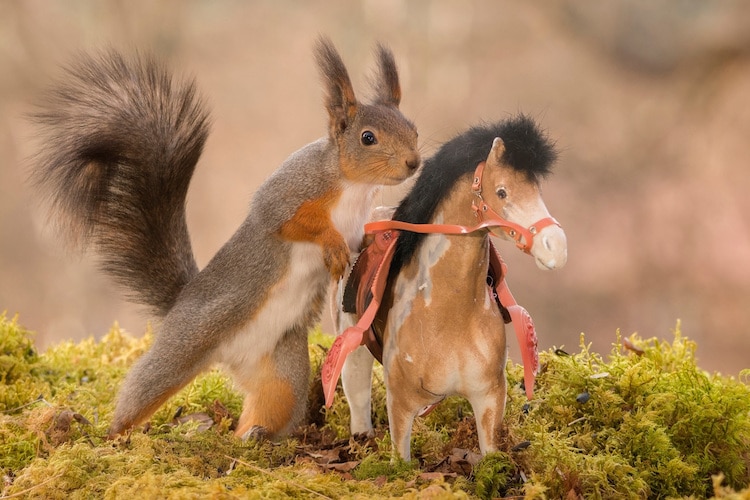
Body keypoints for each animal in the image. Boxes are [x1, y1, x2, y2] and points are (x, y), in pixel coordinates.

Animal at [32, 37, 420, 440]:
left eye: (414, 129)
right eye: (367, 138)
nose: (414, 162)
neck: (354, 186)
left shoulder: (358, 227)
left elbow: (363, 244)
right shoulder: (286, 194)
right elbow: (292, 222)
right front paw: (331, 247)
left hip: (282, 369)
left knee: (271, 404)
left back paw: (251, 437)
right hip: (187, 341)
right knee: (146, 386)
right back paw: (113, 432)